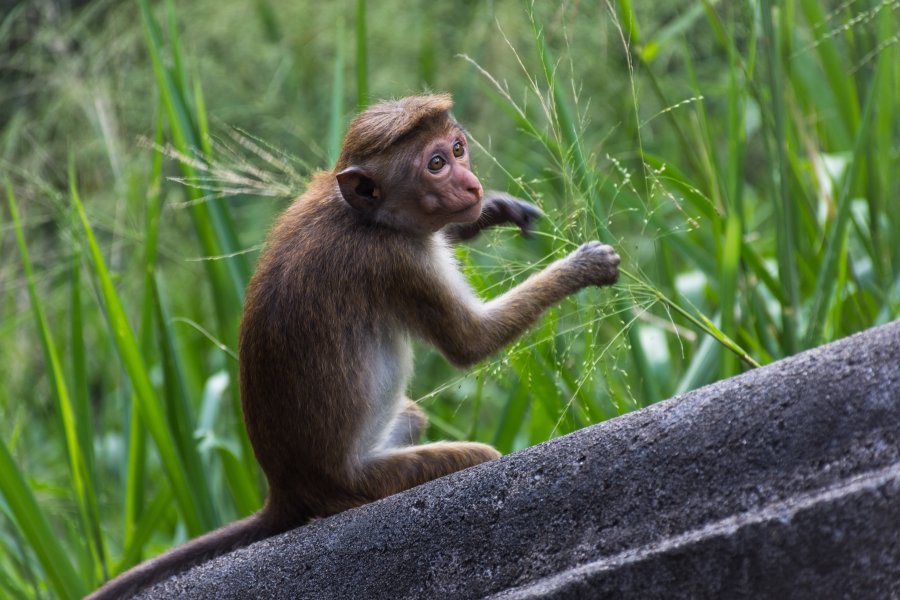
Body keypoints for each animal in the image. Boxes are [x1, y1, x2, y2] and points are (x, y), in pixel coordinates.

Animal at [88, 95, 616, 600]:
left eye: (458, 149)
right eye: (436, 164)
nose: (471, 186)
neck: (367, 216)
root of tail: (286, 488)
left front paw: (494, 211)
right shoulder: (398, 261)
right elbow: (469, 343)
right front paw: (582, 267)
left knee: (411, 417)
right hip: (359, 483)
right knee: (473, 455)